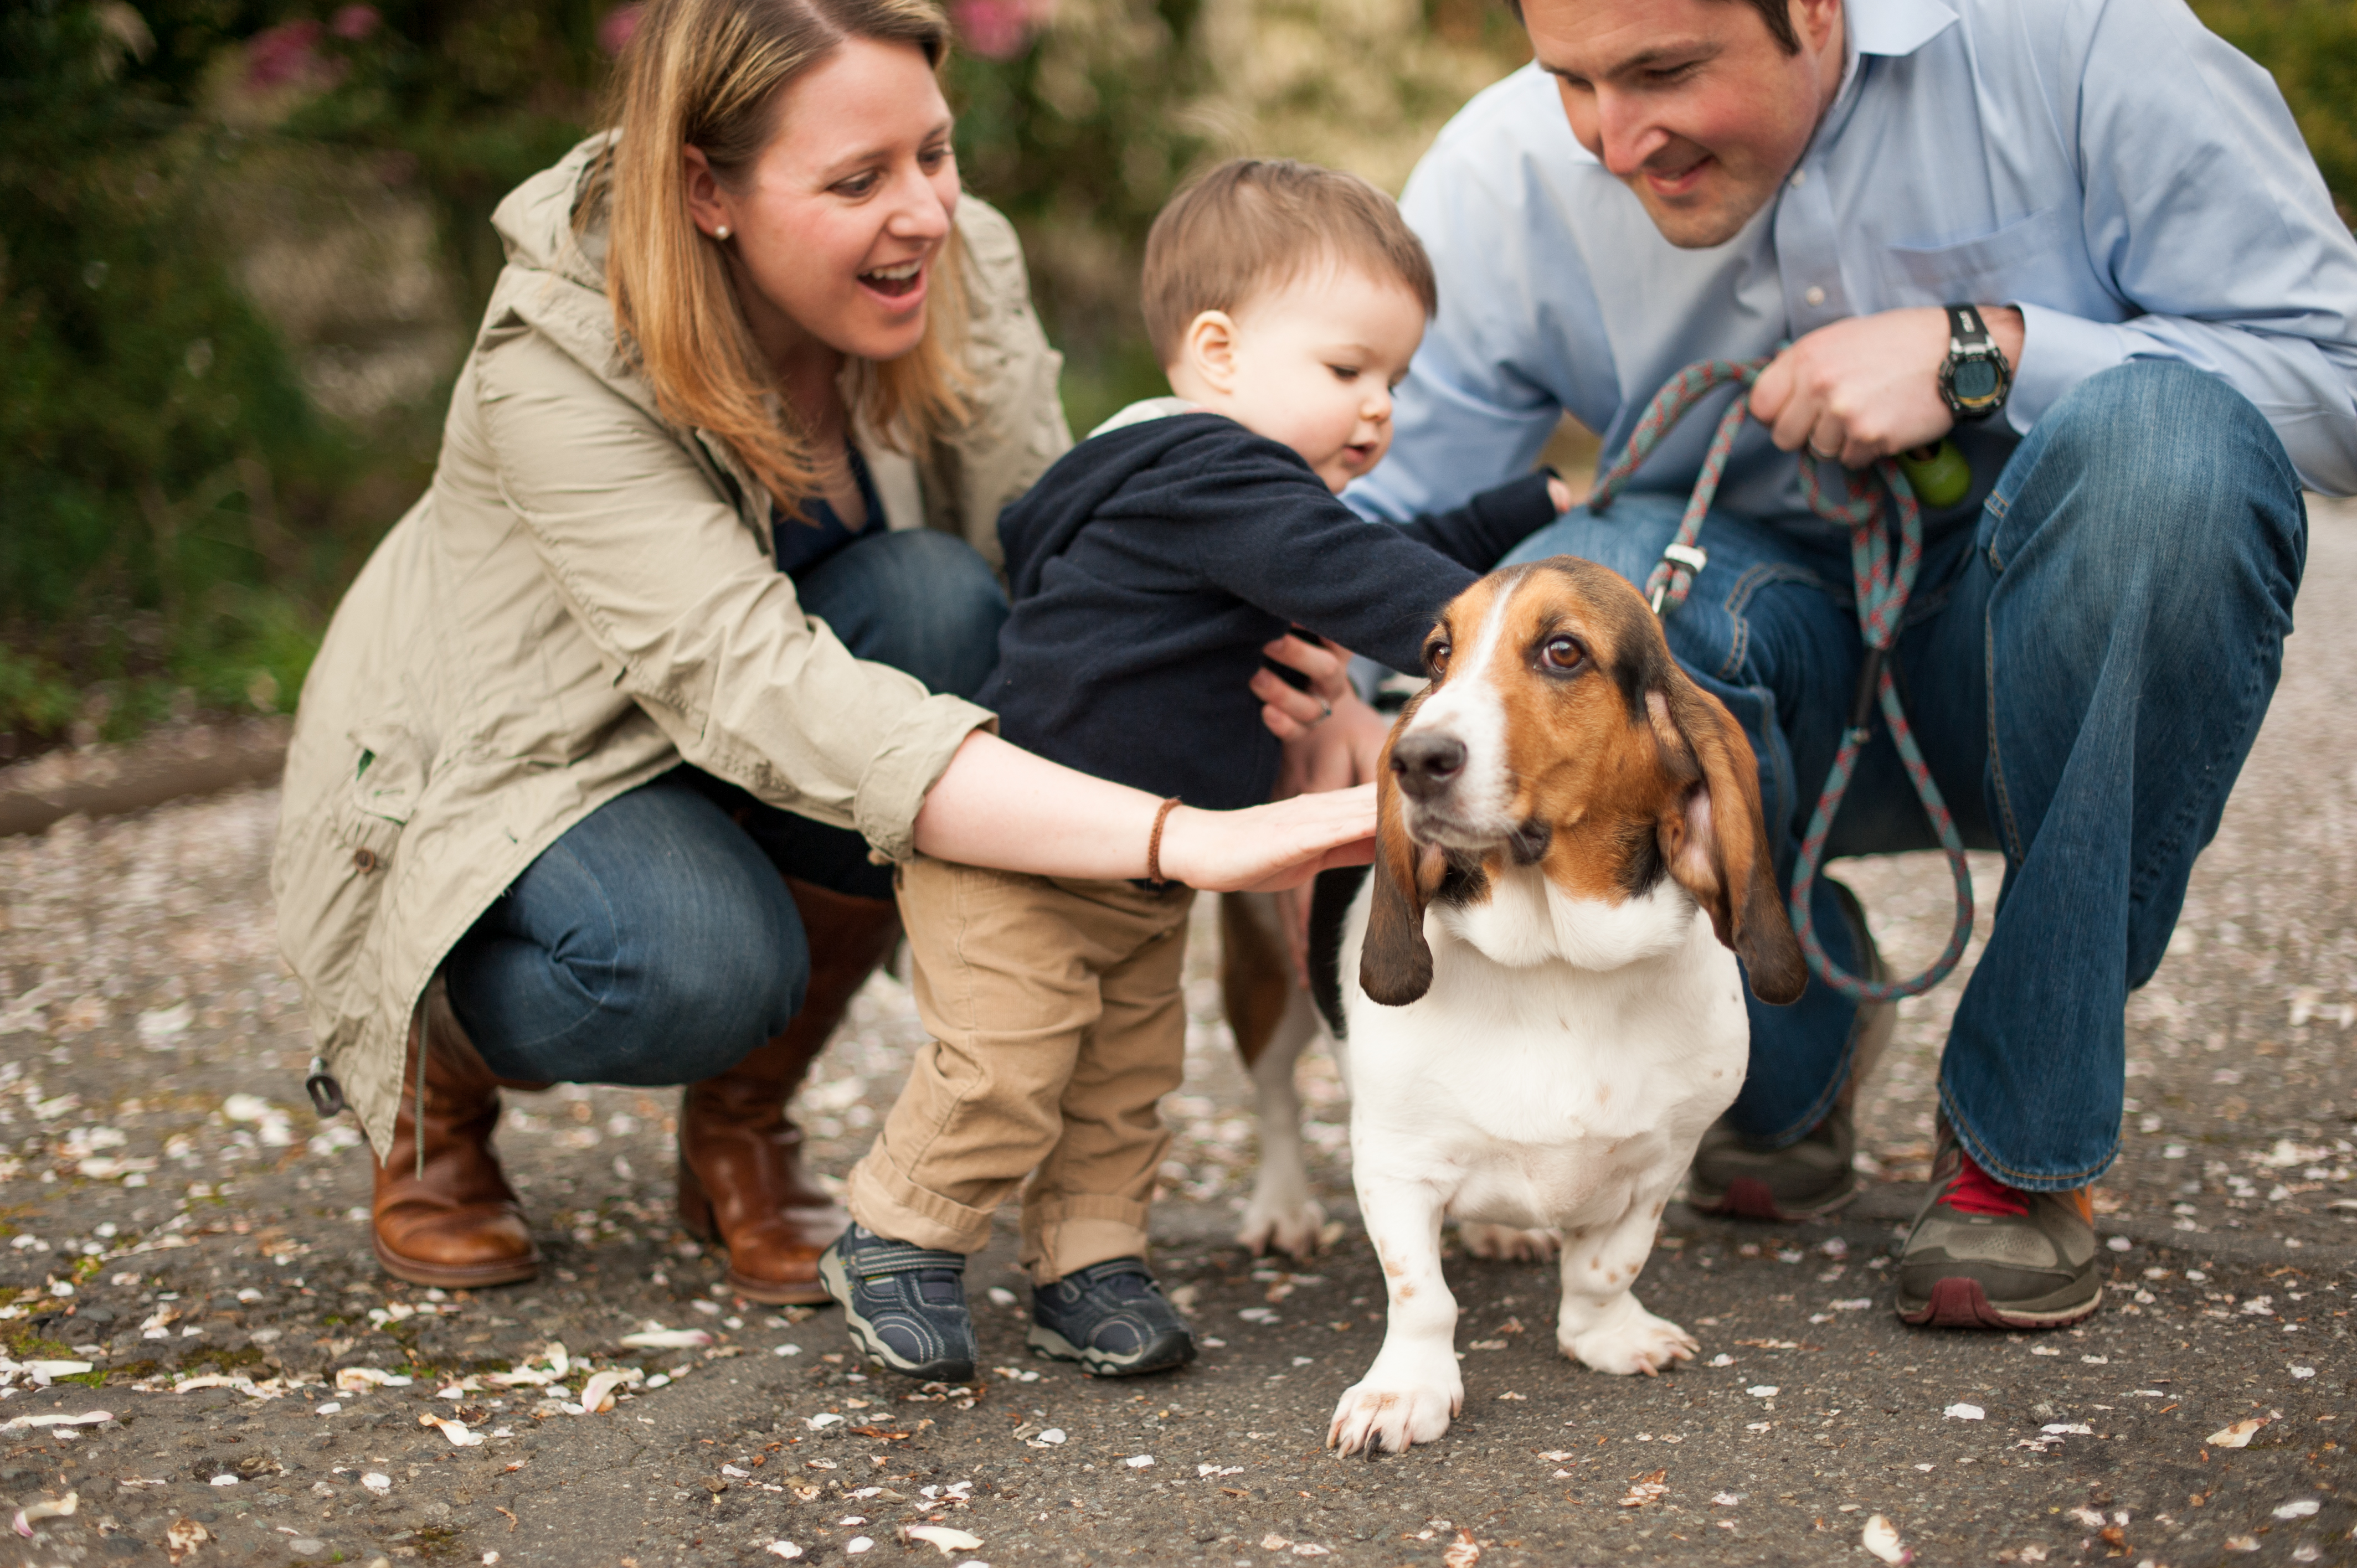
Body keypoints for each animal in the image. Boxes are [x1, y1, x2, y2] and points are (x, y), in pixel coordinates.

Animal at [1216, 554, 1800, 1452]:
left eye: (1563, 652)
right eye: (1437, 654)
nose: (1414, 758)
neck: (1557, 962)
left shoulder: (1663, 1160)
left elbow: (1606, 1266)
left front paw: (1607, 1336)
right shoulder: (1394, 1163)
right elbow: (1421, 1295)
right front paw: (1403, 1394)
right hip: (1268, 980)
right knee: (1277, 1098)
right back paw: (1282, 1211)